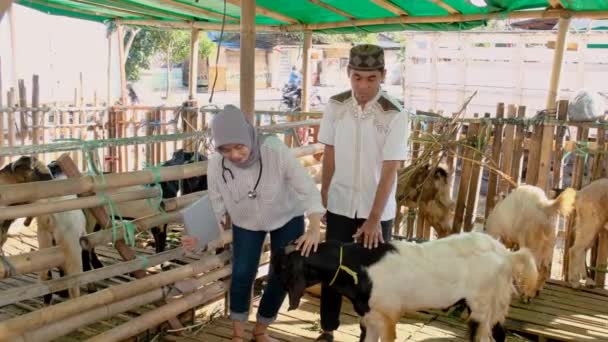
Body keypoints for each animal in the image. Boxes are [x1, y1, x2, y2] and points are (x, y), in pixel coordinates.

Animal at [274, 231, 536, 340]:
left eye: (285, 267)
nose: (275, 285)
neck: (359, 267)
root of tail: (506, 254)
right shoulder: (371, 317)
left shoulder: (388, 317)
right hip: (495, 306)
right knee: (499, 334)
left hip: (481, 306)